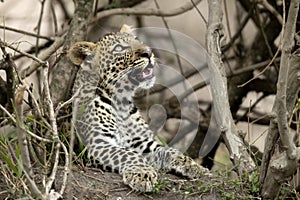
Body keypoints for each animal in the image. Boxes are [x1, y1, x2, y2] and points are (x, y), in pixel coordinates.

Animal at [68, 25, 209, 192]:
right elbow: (127, 154)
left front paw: (193, 165)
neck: (121, 102)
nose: (148, 52)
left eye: (138, 41)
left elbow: (168, 150)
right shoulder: (99, 143)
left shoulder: (141, 141)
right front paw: (142, 174)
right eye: (119, 48)